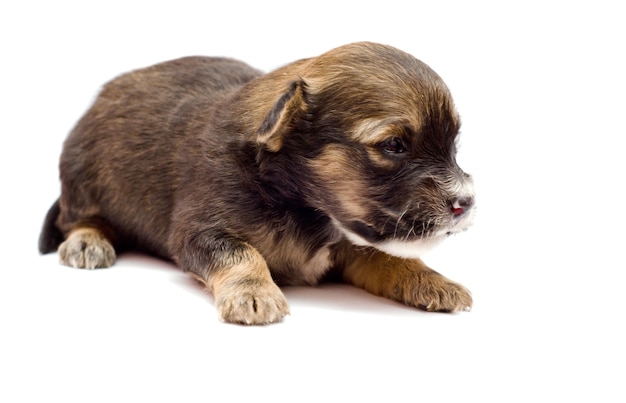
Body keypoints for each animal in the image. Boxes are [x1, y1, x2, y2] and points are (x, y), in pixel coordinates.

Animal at [39, 41, 472, 326]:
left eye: (453, 144)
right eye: (393, 145)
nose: (465, 202)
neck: (303, 204)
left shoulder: (352, 242)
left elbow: (390, 258)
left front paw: (435, 281)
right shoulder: (199, 231)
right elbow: (240, 253)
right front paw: (254, 293)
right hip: (82, 179)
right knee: (77, 218)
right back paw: (87, 242)